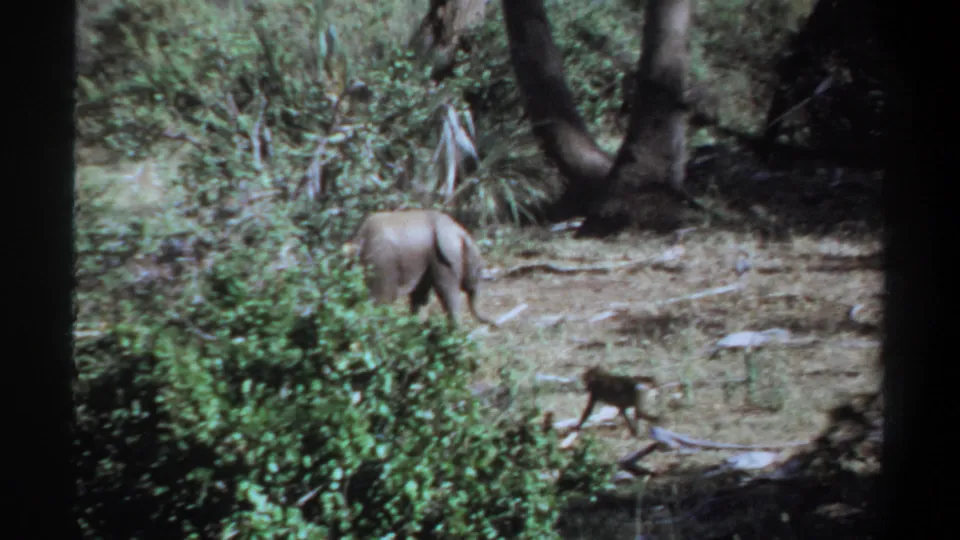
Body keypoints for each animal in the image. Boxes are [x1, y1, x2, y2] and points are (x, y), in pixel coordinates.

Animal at [348, 209, 498, 328]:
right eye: (479, 270)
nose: (495, 324)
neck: (458, 230)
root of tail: (360, 239)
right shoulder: (442, 259)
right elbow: (447, 291)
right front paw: (458, 332)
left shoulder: (427, 261)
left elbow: (420, 295)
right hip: (382, 264)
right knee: (381, 301)